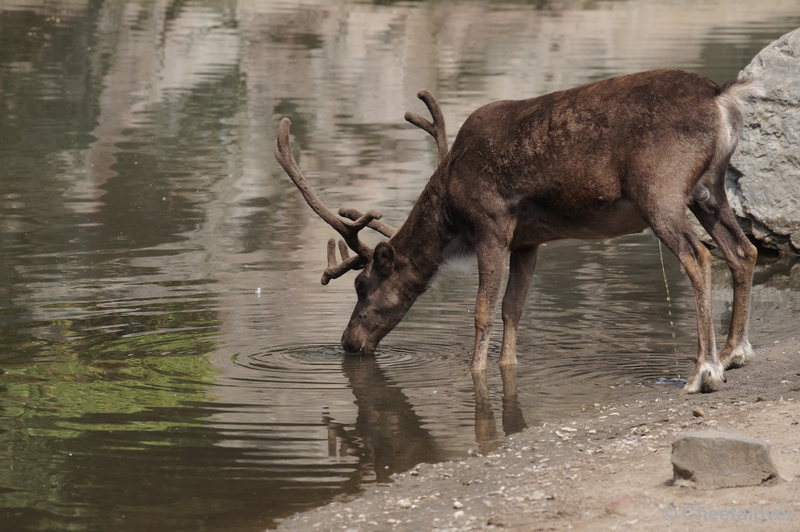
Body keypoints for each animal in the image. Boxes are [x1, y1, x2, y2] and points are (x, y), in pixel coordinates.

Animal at [276, 68, 764, 392]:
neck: (450, 212)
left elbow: (482, 310)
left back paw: (704, 371)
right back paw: (735, 353)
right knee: (743, 250)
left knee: (700, 256)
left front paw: (474, 372)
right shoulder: (529, 240)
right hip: (709, 189)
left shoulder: (490, 225)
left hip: (659, 190)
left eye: (361, 285)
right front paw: (507, 366)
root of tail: (722, 97)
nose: (347, 342)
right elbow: (514, 308)